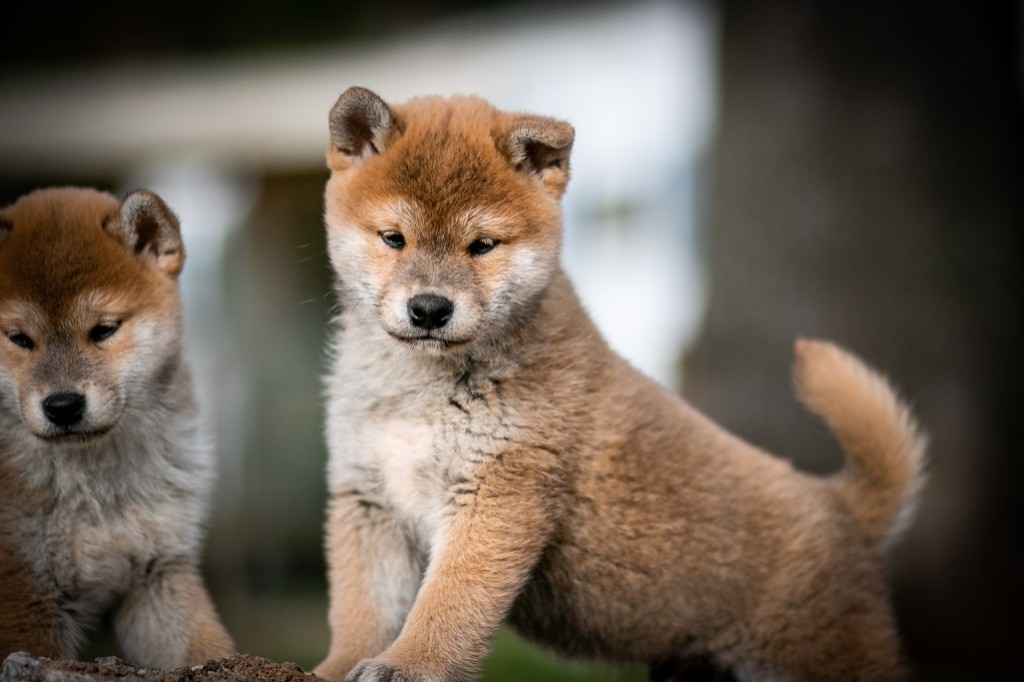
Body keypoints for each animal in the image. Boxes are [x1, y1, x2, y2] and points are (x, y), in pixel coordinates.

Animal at [0, 188, 234, 667]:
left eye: (103, 329)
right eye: (19, 339)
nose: (63, 406)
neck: (96, 492)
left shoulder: (156, 568)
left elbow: (204, 645)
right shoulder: (24, 589)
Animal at [315, 87, 927, 682]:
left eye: (482, 245)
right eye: (393, 238)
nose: (429, 309)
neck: (416, 392)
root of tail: (840, 506)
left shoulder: (499, 490)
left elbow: (447, 605)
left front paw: (411, 665)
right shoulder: (367, 497)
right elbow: (361, 609)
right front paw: (339, 666)